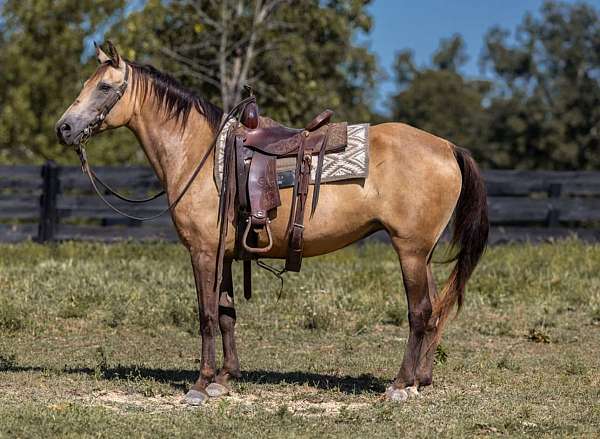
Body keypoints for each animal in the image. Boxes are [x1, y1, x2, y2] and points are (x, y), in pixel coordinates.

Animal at [55, 43, 488, 408]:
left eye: (104, 87)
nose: (64, 128)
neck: (199, 153)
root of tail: (448, 147)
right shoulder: (225, 254)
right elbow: (226, 314)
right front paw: (225, 379)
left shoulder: (203, 252)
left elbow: (206, 314)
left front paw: (201, 384)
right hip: (422, 253)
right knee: (433, 312)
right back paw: (419, 381)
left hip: (410, 250)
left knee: (419, 312)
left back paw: (399, 386)